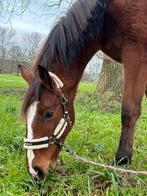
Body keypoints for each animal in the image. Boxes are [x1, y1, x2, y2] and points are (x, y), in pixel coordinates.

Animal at [19, 0, 147, 181]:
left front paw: (122, 158)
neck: (106, 13)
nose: (34, 170)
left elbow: (129, 111)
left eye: (48, 114)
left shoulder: (135, 52)